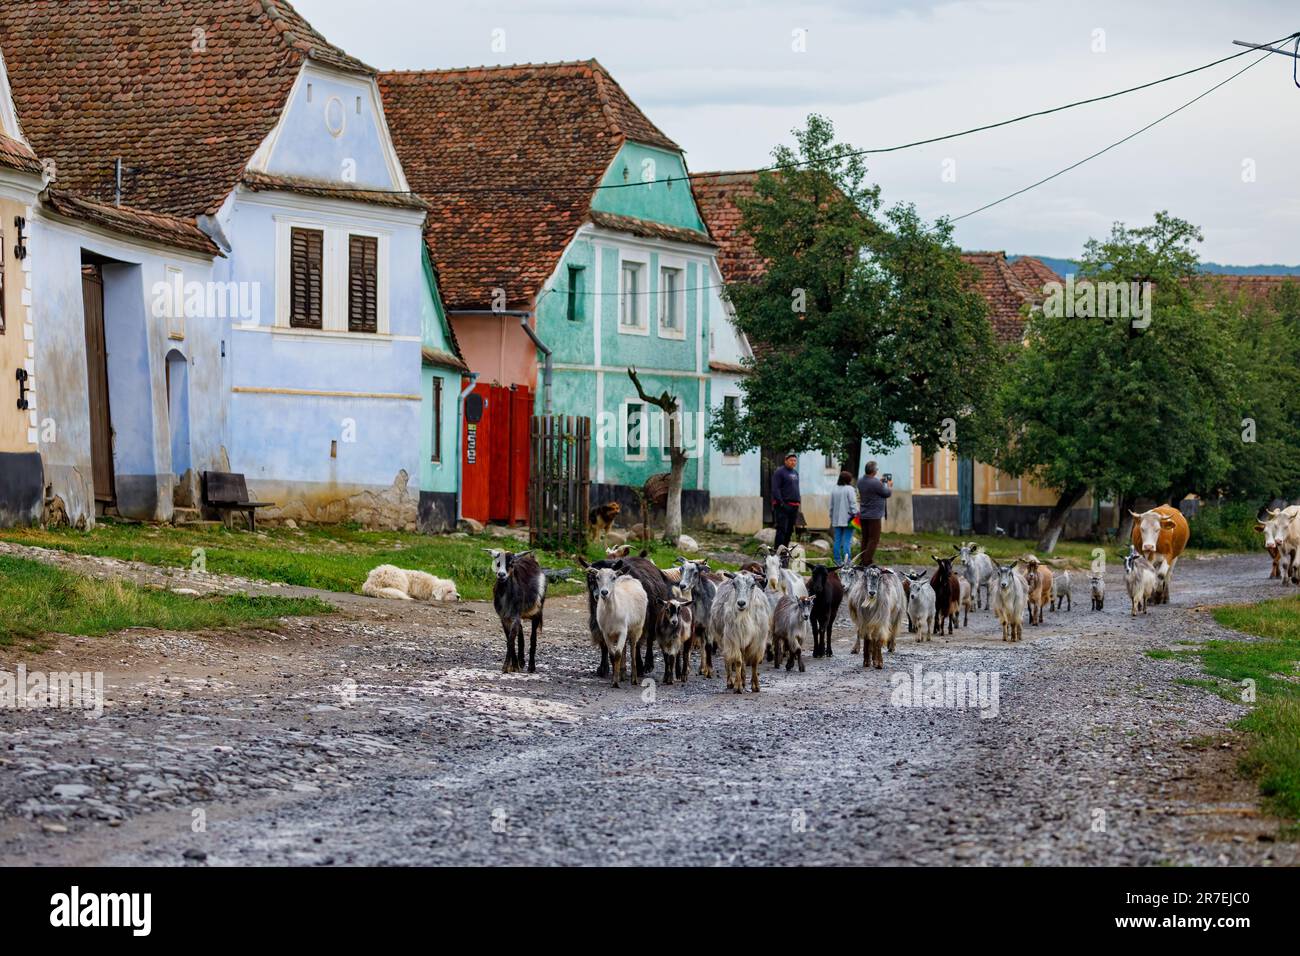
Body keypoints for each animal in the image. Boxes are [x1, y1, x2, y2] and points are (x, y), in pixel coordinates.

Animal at [488, 548, 546, 676]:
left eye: (511, 563)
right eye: (497, 563)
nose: (501, 574)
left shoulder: (515, 616)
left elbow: (511, 639)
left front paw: (506, 667)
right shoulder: (504, 618)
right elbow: (510, 639)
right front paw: (514, 666)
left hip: (537, 612)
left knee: (533, 637)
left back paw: (531, 667)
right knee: (521, 633)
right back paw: (521, 661)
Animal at [712, 567, 769, 697]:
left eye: (753, 585)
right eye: (734, 584)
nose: (741, 603)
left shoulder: (757, 641)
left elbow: (754, 662)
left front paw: (755, 686)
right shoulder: (734, 638)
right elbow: (737, 661)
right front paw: (737, 687)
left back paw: (743, 680)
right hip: (722, 639)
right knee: (728, 659)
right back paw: (730, 682)